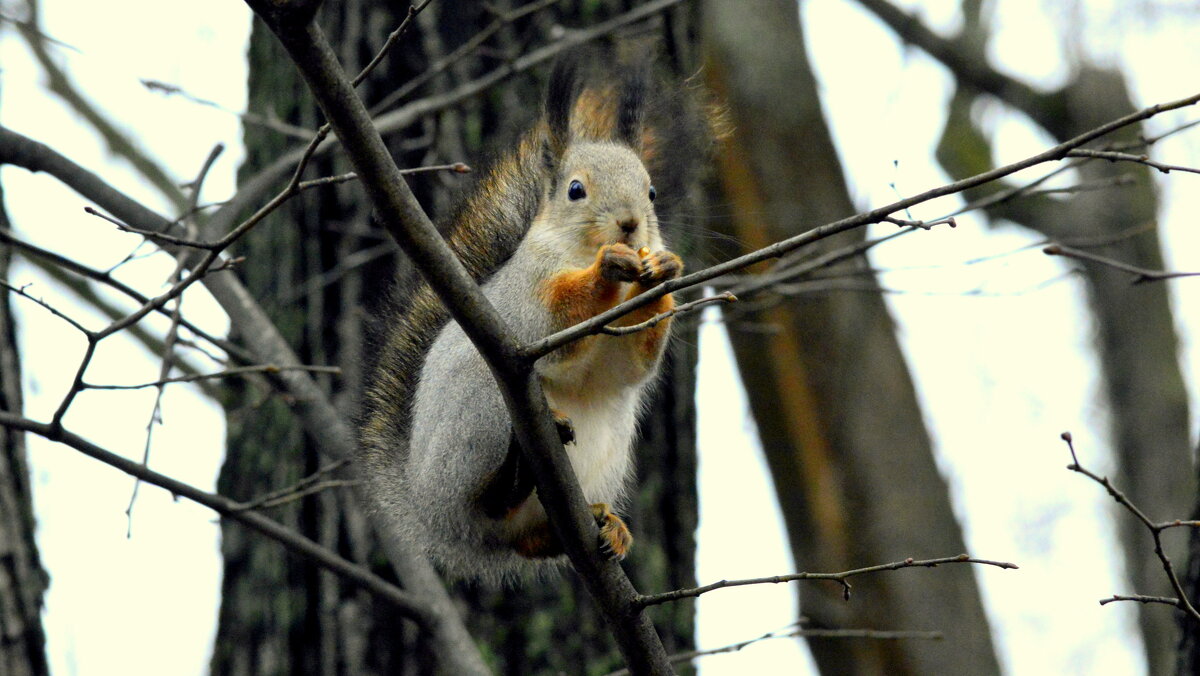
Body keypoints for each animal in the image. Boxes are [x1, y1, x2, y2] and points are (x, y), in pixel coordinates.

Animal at [355, 52, 700, 583]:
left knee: (527, 541)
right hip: (484, 418)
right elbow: (557, 325)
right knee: (484, 504)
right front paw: (607, 268)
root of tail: (432, 519)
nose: (630, 223)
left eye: (653, 192)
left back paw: (605, 527)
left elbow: (631, 364)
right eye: (576, 190)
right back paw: (507, 482)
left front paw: (662, 270)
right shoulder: (527, 299)